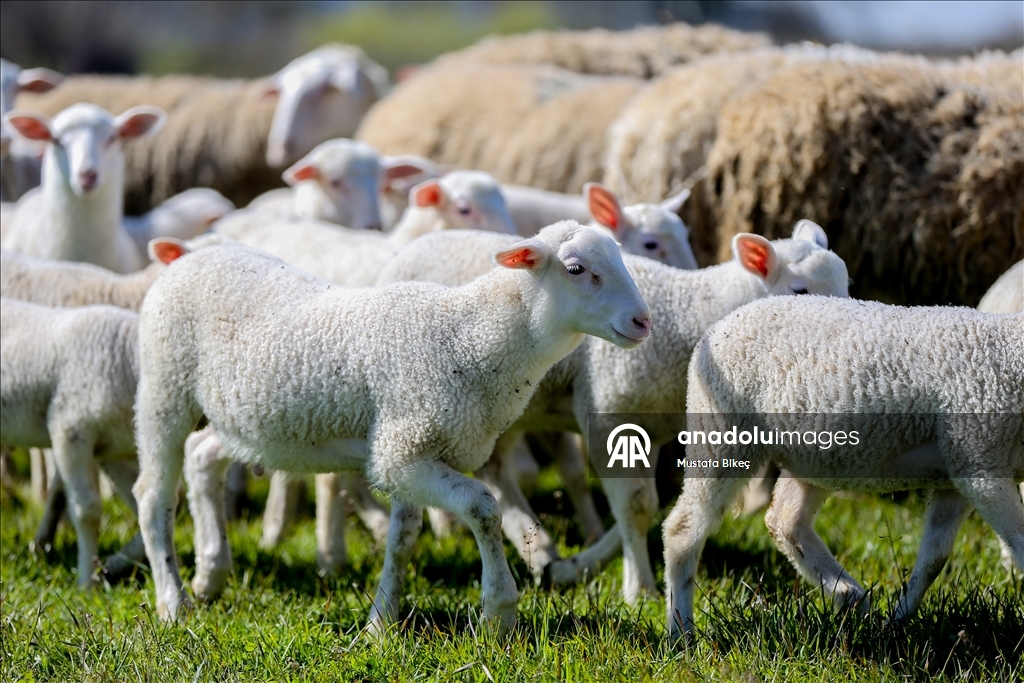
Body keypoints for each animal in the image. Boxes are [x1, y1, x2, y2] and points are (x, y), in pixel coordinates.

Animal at [131, 222, 652, 635]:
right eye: (576, 269)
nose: (643, 321)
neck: (465, 337)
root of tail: (190, 257)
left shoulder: (412, 449)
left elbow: (403, 539)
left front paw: (381, 625)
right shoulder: (402, 450)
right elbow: (484, 508)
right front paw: (498, 612)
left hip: (244, 420)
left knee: (201, 458)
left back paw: (210, 574)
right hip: (163, 387)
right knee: (153, 496)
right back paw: (173, 602)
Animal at [377, 220, 849, 597]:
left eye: (845, 284)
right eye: (800, 290)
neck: (689, 315)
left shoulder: (648, 424)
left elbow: (646, 505)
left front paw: (580, 565)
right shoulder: (608, 412)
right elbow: (636, 506)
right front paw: (640, 590)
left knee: (497, 473)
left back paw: (539, 550)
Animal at [662, 297, 1023, 639]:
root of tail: (716, 329)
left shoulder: (960, 469)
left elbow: (934, 559)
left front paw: (896, 622)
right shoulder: (981, 463)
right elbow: (1019, 546)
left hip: (810, 457)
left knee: (785, 521)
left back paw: (848, 595)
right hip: (721, 433)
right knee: (682, 530)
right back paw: (682, 634)